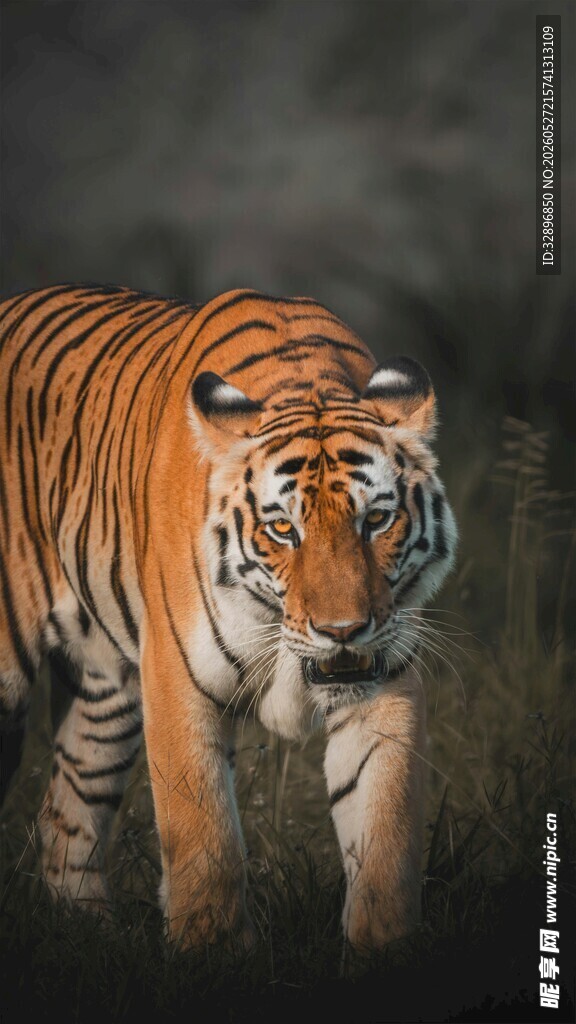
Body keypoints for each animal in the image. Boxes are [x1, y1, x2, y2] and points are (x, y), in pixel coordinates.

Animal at [0, 283, 457, 952]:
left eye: (375, 519)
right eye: (283, 529)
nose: (342, 632)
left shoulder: (385, 683)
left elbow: (385, 835)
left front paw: (383, 950)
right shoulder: (176, 681)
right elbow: (204, 839)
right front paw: (210, 954)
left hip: (104, 694)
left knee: (65, 814)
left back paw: (90, 935)